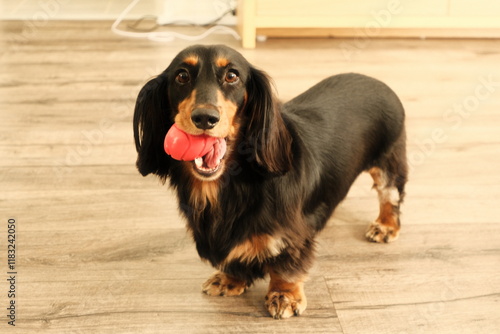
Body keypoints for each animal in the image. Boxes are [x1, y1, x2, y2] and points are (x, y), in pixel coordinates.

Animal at [135, 44, 408, 318]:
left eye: (232, 76)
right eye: (181, 76)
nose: (204, 118)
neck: (232, 183)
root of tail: (376, 81)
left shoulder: (291, 234)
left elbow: (286, 265)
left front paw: (284, 295)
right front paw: (230, 279)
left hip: (389, 161)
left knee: (389, 195)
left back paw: (385, 226)